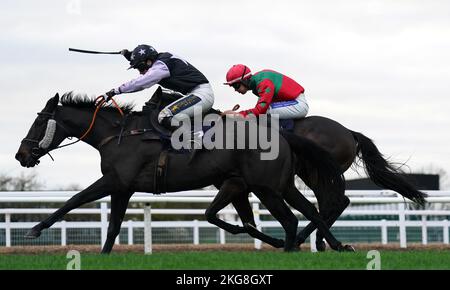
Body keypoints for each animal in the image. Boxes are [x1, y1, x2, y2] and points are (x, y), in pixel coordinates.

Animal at [14, 92, 354, 253]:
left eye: (39, 122)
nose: (21, 155)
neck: (118, 135)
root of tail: (281, 135)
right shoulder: (123, 187)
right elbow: (111, 227)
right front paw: (104, 254)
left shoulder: (115, 181)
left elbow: (74, 201)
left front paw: (35, 229)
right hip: (279, 185)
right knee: (312, 210)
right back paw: (334, 245)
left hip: (267, 187)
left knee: (295, 217)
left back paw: (295, 246)